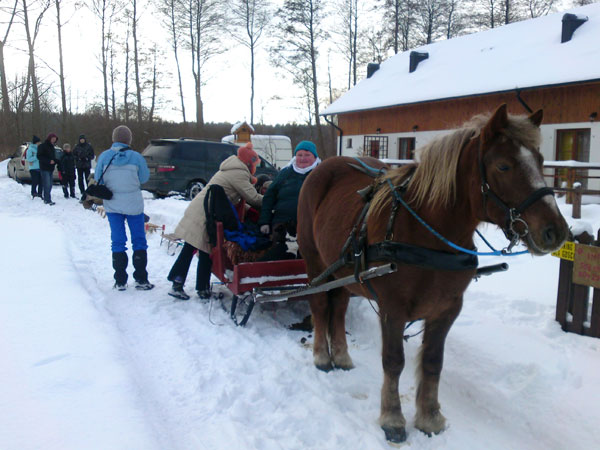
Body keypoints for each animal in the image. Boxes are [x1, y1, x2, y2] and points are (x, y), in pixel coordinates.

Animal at [296, 104, 569, 443]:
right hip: (315, 260)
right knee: (321, 305)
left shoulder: (447, 309)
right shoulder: (392, 309)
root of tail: (326, 164)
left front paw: (430, 417)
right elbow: (394, 361)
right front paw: (392, 418)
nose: (555, 231)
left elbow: (432, 362)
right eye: (504, 166)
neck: (428, 231)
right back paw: (322, 356)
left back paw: (342, 357)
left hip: (346, 271)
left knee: (340, 308)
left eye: (541, 161)